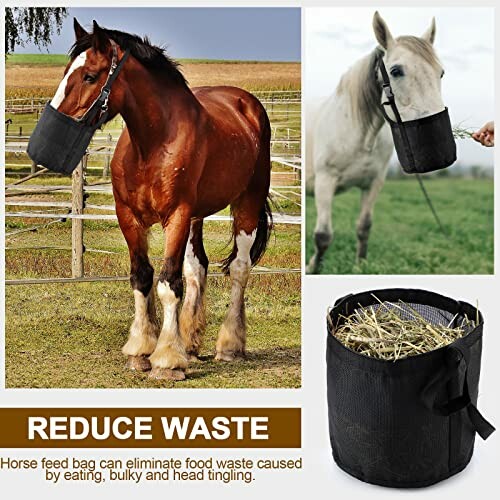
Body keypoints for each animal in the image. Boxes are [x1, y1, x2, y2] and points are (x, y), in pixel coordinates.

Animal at [54, 19, 272, 378]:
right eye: (66, 70)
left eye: (89, 76)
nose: (59, 126)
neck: (152, 145)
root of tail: (247, 104)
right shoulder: (128, 216)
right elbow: (142, 277)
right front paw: (142, 350)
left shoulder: (177, 215)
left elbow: (169, 283)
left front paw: (167, 358)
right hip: (198, 216)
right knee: (198, 267)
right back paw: (191, 343)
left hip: (247, 202)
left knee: (240, 268)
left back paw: (229, 345)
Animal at [306, 11, 448, 274]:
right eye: (396, 71)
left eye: (440, 72)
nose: (435, 137)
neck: (362, 136)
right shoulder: (324, 182)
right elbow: (323, 236)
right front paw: (313, 267)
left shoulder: (373, 183)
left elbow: (364, 227)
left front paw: (360, 265)